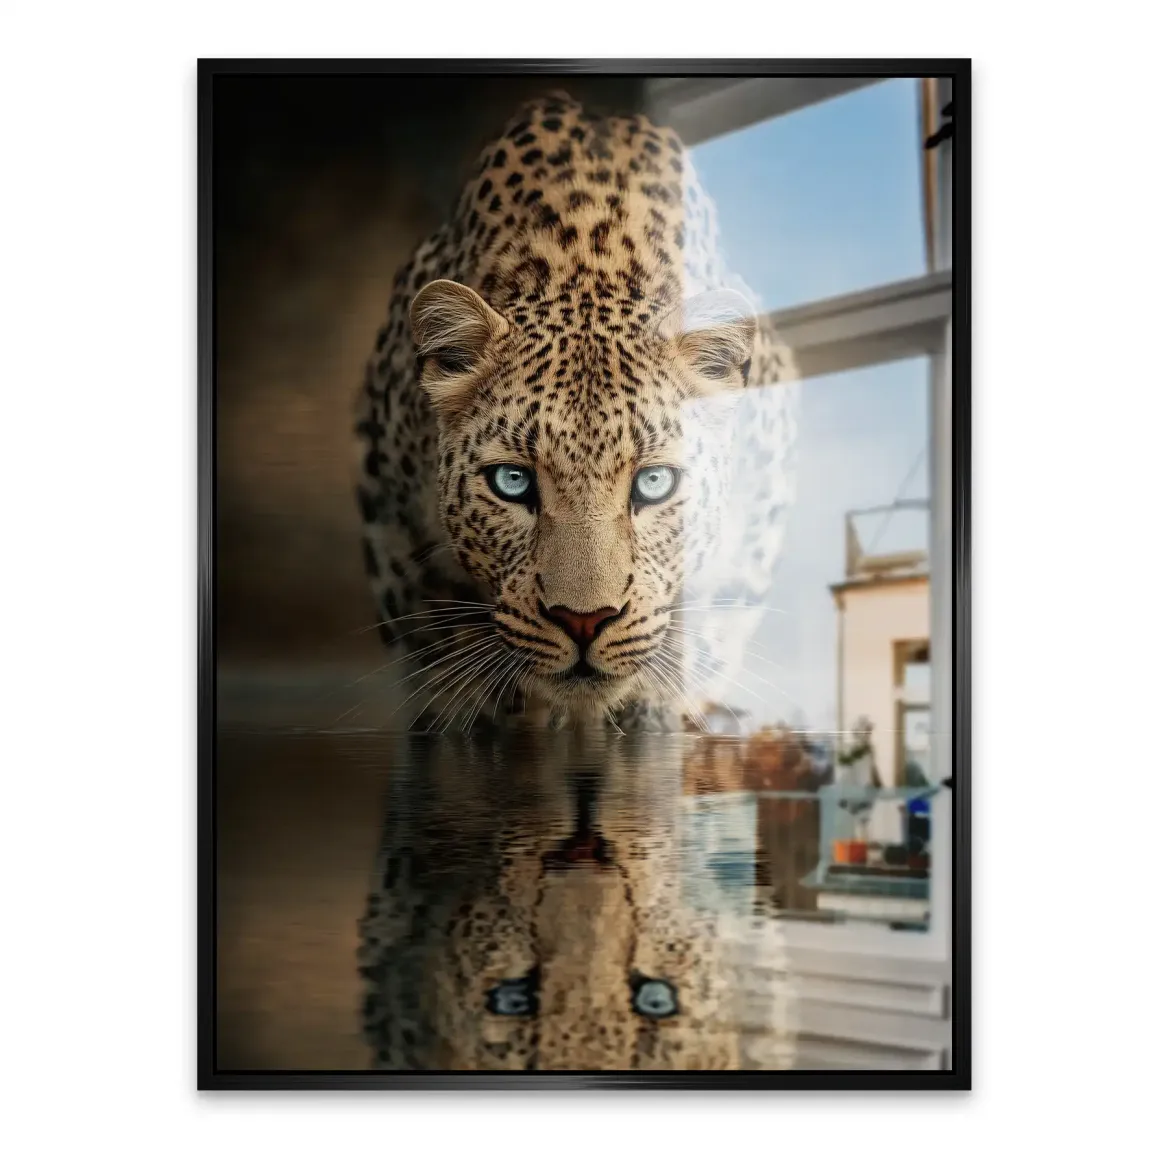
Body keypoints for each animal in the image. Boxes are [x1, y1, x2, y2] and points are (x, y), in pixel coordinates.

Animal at [355, 89, 799, 733]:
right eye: (512, 482)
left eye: (655, 483)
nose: (584, 620)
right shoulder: (389, 513)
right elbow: (436, 642)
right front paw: (477, 714)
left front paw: (655, 709)